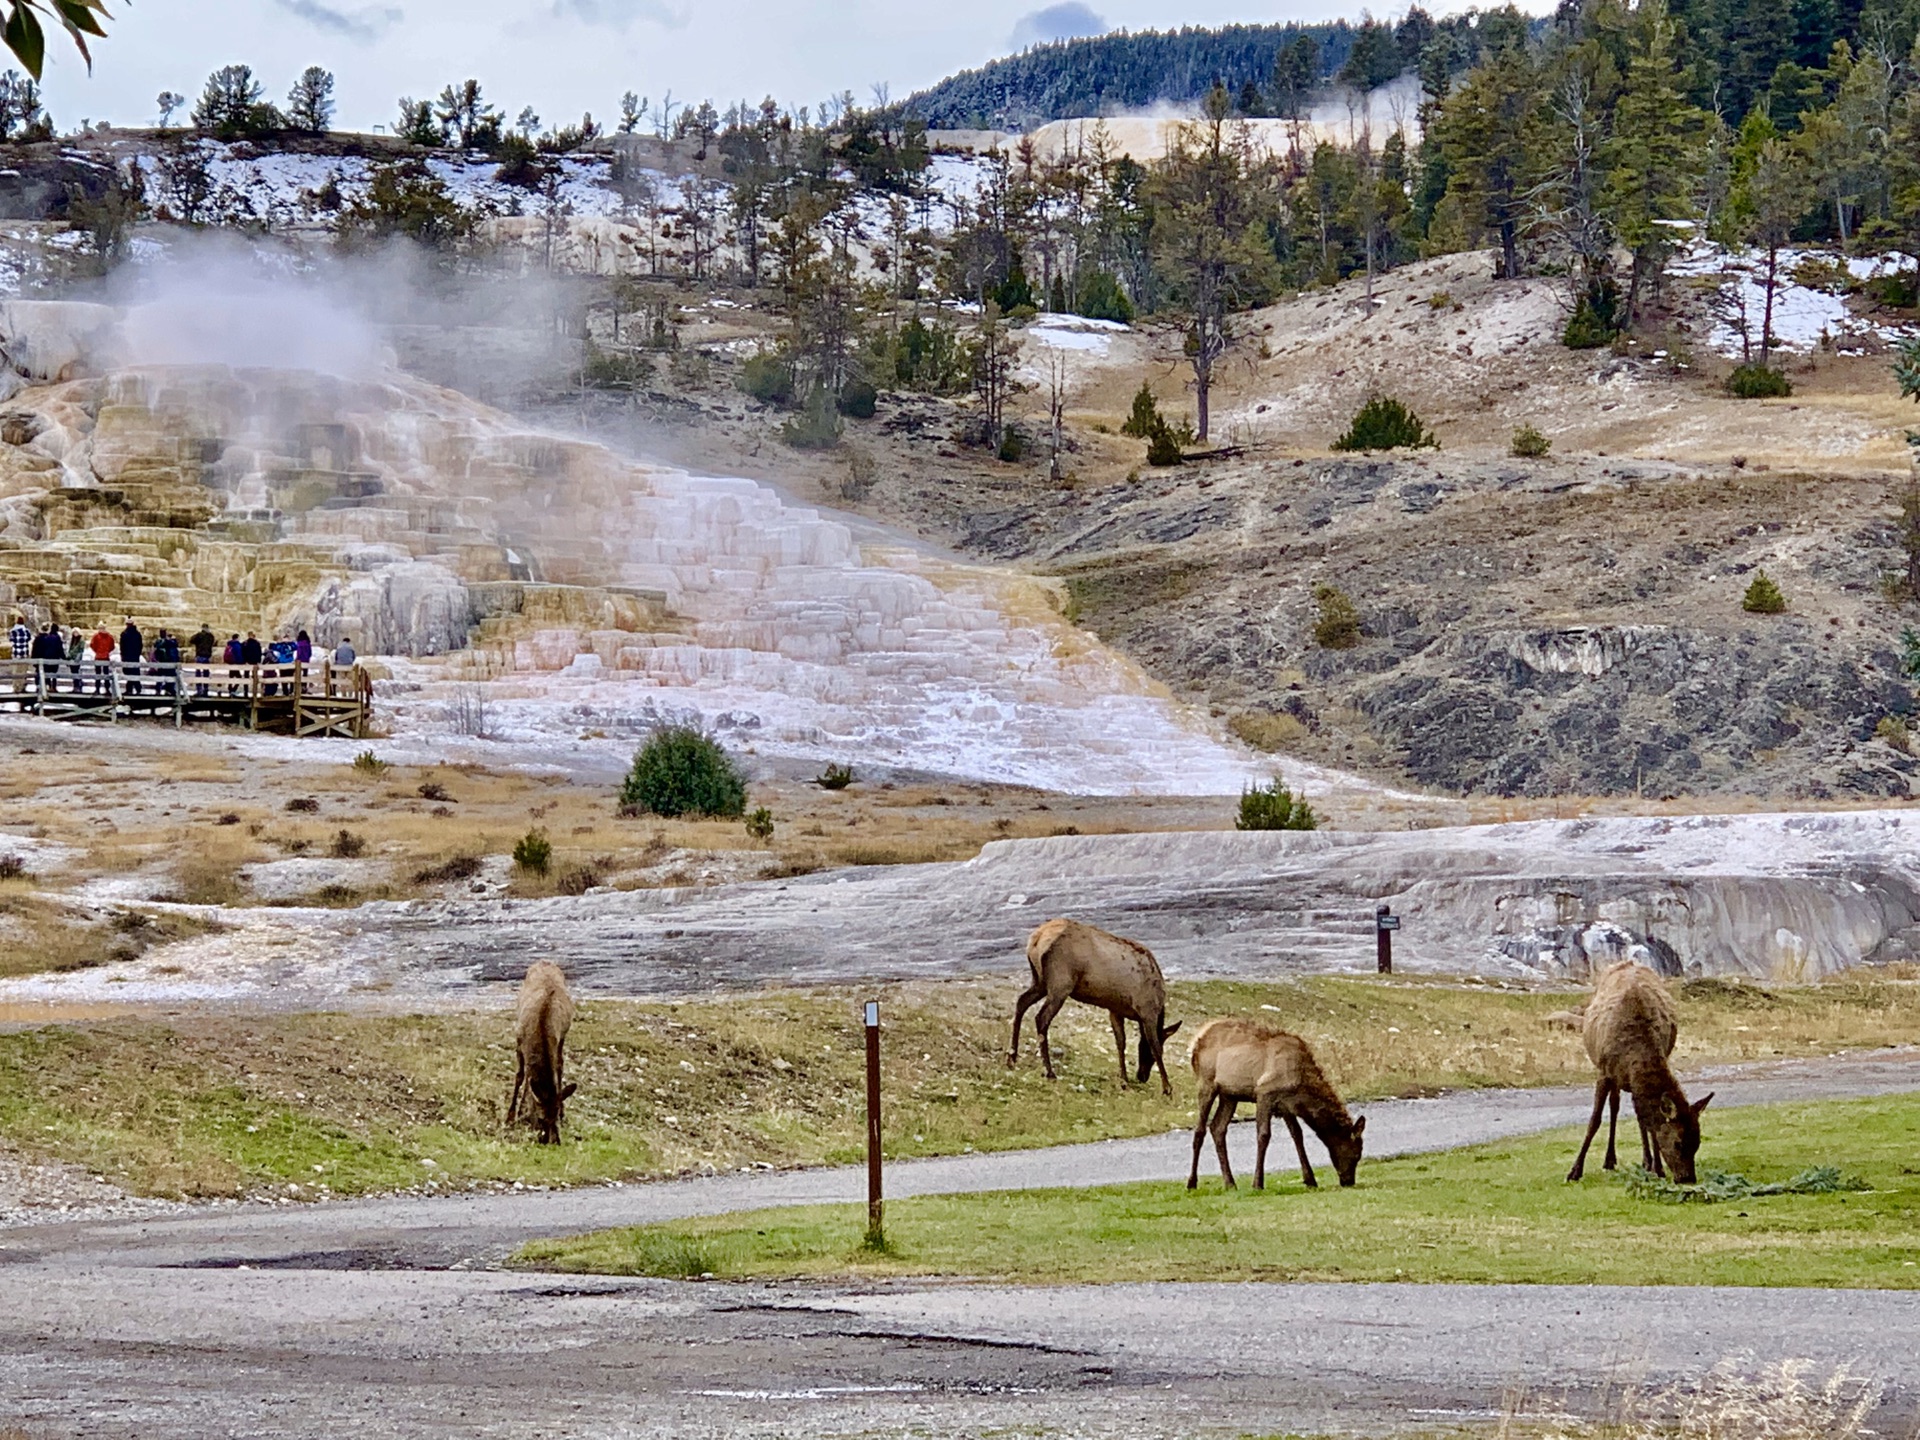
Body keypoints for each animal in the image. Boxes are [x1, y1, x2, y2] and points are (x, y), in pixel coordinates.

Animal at [506, 960, 572, 1152]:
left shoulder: (558, 1040)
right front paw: (512, 1116)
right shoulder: (519, 1042)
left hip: (563, 1037)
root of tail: (545, 961)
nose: (553, 1141)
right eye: (541, 1118)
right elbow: (521, 1076)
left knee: (560, 1065)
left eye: (554, 1117)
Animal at [1006, 925, 1182, 1090]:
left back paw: (1011, 1058)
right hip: (1060, 983)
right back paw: (1049, 1072)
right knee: (1041, 1018)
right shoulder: (1147, 1011)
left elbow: (1121, 1043)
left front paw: (1124, 1080)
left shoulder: (1115, 1010)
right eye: (1144, 1052)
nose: (1142, 1076)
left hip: (1039, 980)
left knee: (1021, 1002)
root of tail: (1037, 939)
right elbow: (1155, 1046)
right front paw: (1167, 1088)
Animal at [1182, 1013, 1367, 1198]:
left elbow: (1297, 1135)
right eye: (1356, 1154)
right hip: (1206, 1083)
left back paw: (1230, 1183)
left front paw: (1311, 1180)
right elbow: (1264, 1135)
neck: (1301, 1088)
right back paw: (1192, 1183)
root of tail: (1197, 1039)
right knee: (1200, 1130)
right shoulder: (1264, 1093)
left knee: (1217, 1127)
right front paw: (1257, 1183)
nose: (1348, 1181)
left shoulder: (1286, 1105)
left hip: (1229, 1095)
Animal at [1566, 963, 1720, 1190]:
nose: (1688, 1179)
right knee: (1615, 1107)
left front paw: (1658, 1169)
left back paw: (1644, 1162)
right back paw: (1610, 1160)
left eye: (1697, 1142)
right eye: (1678, 1143)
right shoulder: (1604, 1072)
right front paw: (1575, 1171)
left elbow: (1650, 1123)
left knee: (1638, 1116)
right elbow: (1594, 1121)